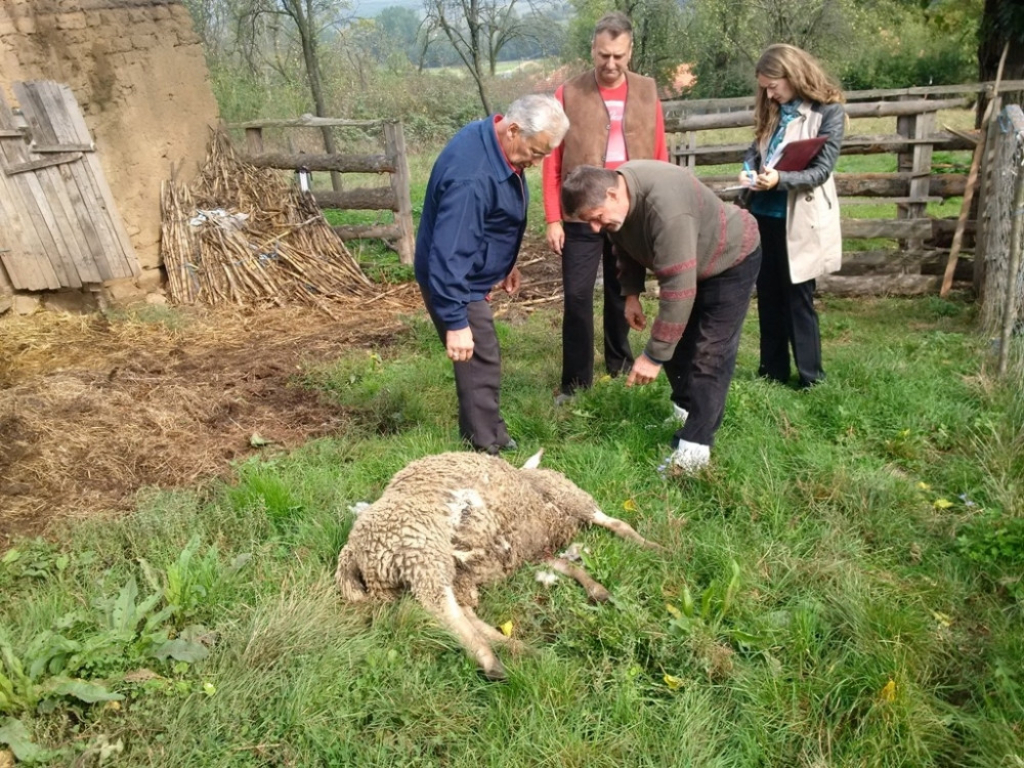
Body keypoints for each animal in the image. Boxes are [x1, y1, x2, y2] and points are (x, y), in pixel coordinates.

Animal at [331, 450, 659, 679]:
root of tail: (351, 550)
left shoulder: (533, 554)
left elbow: (569, 567)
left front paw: (596, 589)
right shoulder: (567, 510)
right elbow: (617, 524)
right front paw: (653, 547)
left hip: (423, 576)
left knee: (460, 612)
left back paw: (521, 650)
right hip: (421, 549)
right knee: (441, 608)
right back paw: (491, 660)